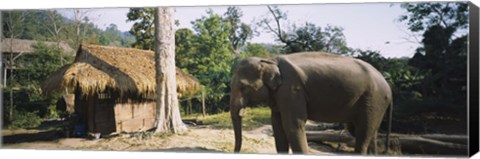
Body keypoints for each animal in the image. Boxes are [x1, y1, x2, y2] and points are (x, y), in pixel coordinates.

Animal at [230, 51, 394, 154]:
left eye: (243, 86)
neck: (270, 60)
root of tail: (389, 87)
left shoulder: (292, 90)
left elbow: (293, 125)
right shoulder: (280, 95)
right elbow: (277, 126)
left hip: (374, 99)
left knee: (363, 133)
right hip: (372, 103)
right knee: (367, 132)